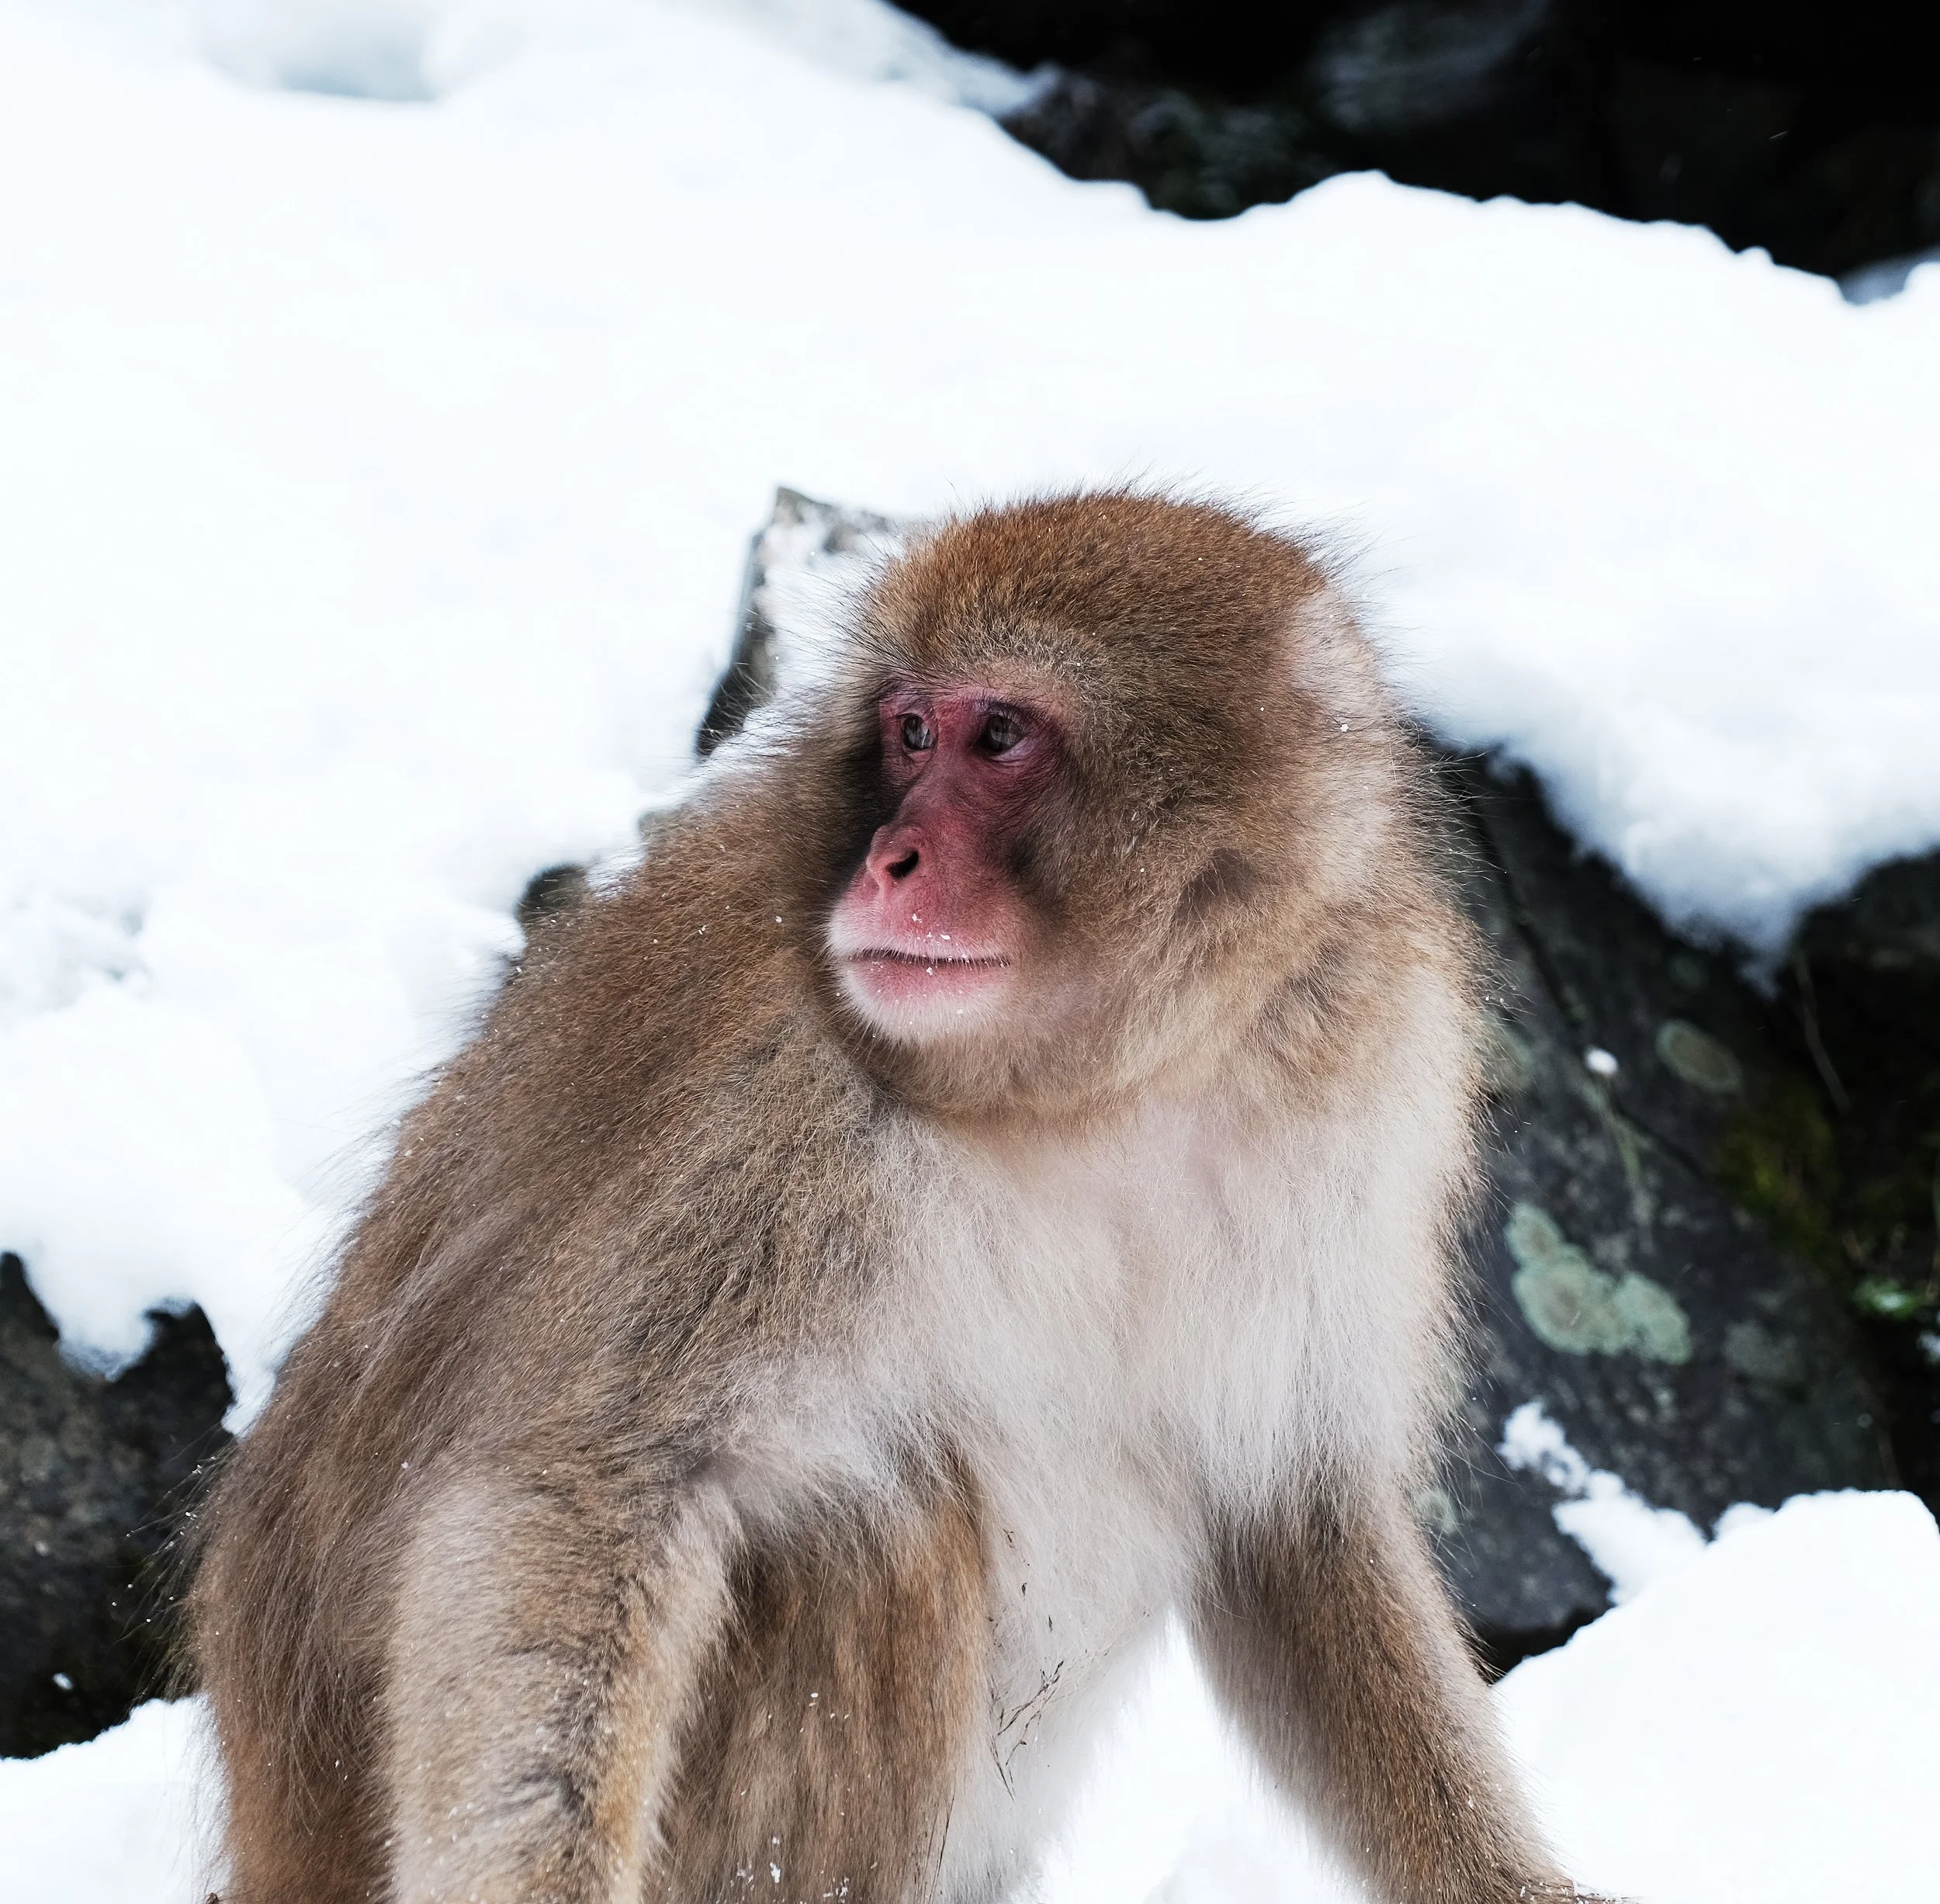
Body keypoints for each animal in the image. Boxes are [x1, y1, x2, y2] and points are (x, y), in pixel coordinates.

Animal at [189, 491, 1592, 1904]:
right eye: (911, 732)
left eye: (1000, 735)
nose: (890, 857)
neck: (1098, 1089)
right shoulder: (771, 1123)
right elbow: (581, 1495)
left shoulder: (1370, 1088)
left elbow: (1301, 1518)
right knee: (874, 1531)